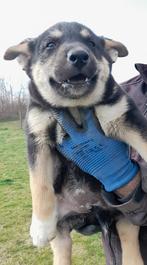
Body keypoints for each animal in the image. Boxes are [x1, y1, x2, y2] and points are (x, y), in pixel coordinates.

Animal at [3, 21, 145, 262]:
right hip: (61, 230)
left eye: (92, 43)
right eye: (50, 45)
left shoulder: (124, 116)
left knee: (129, 238)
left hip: (125, 216)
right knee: (62, 249)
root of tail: (90, 210)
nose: (79, 56)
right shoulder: (37, 136)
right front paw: (39, 227)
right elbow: (39, 184)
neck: (74, 107)